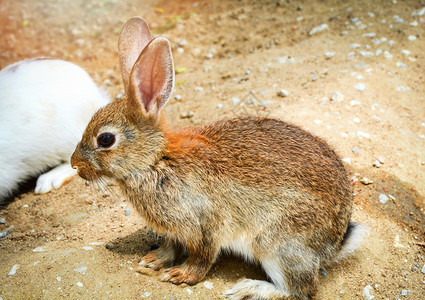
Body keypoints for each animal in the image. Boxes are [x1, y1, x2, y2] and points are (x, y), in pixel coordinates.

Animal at [72, 17, 364, 300]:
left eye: (105, 139)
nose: (76, 165)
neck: (156, 160)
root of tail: (335, 243)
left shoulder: (203, 225)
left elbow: (202, 256)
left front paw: (180, 275)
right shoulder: (176, 230)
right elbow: (171, 246)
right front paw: (153, 260)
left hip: (277, 244)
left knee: (300, 289)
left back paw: (248, 288)